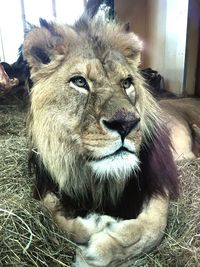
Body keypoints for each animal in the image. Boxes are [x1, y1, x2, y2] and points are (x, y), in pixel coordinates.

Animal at [22, 17, 200, 267]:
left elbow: (152, 228)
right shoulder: (47, 184)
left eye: (126, 83)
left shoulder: (157, 182)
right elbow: (53, 213)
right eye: (79, 81)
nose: (126, 124)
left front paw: (101, 250)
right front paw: (89, 226)